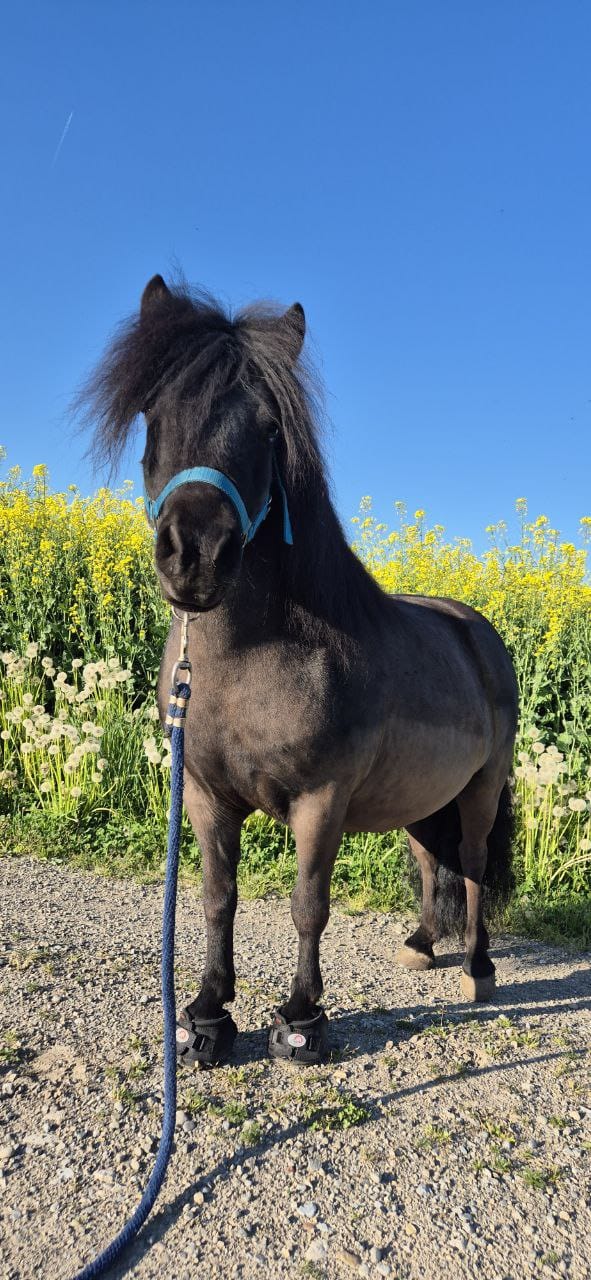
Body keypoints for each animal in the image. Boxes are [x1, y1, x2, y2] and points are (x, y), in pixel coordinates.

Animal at [81, 274, 518, 1066]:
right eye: (154, 411)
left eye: (267, 427)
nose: (196, 555)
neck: (252, 658)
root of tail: (476, 631)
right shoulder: (206, 796)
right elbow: (217, 897)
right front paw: (206, 1016)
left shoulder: (322, 800)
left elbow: (307, 903)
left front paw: (303, 1020)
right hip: (420, 796)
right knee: (427, 858)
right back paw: (420, 945)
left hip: (480, 787)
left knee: (469, 863)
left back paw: (478, 967)